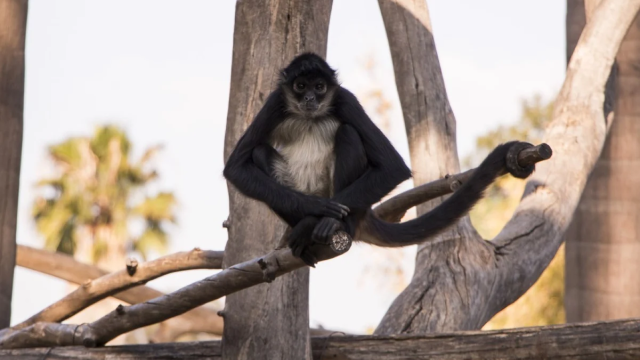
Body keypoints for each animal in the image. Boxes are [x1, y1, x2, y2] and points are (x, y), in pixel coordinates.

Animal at [222, 54, 532, 268]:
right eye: (300, 86)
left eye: (320, 87)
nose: (310, 97)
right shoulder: (276, 101)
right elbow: (235, 167)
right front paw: (317, 209)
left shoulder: (345, 99)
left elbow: (394, 168)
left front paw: (321, 217)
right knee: (259, 152)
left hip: (354, 204)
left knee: (348, 132)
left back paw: (331, 225)